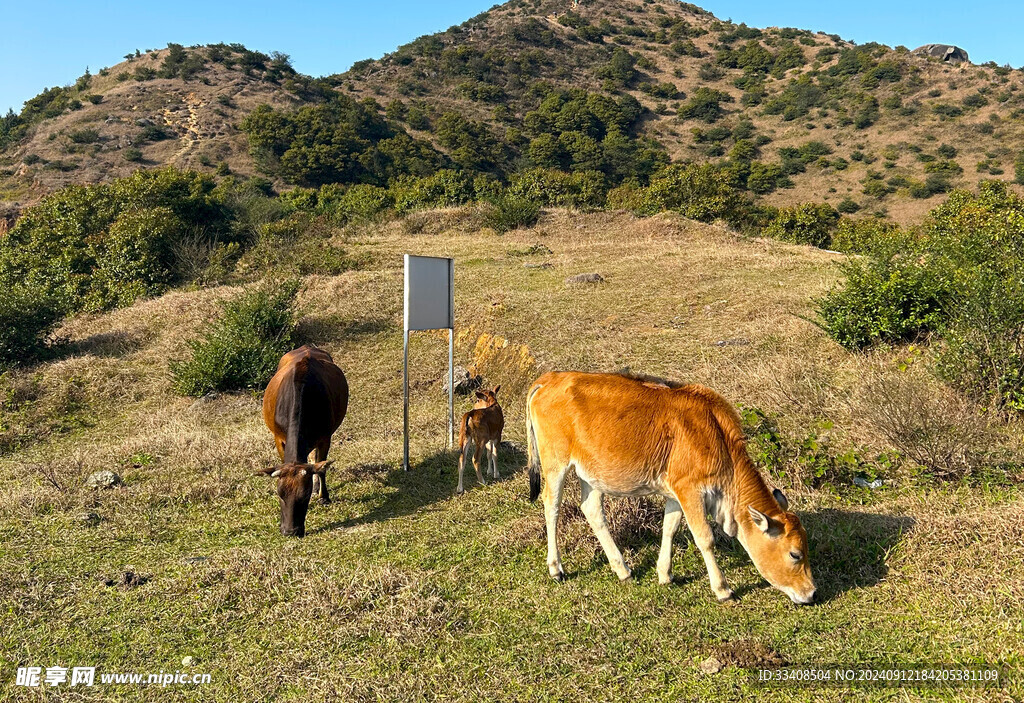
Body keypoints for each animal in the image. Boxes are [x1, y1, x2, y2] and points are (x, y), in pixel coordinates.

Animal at [258, 345, 350, 540]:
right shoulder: (279, 438)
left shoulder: (325, 437)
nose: (290, 531)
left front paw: (323, 496)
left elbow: (321, 468)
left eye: (304, 495)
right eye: (279, 493)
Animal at [528, 370, 815, 605]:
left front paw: (665, 574)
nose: (811, 593)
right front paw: (722, 589)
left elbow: (670, 528)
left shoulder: (675, 492)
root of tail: (550, 378)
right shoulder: (690, 490)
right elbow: (705, 538)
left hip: (591, 475)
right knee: (551, 507)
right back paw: (556, 568)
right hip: (555, 464)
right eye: (795, 554)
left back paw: (622, 569)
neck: (715, 435)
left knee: (592, 510)